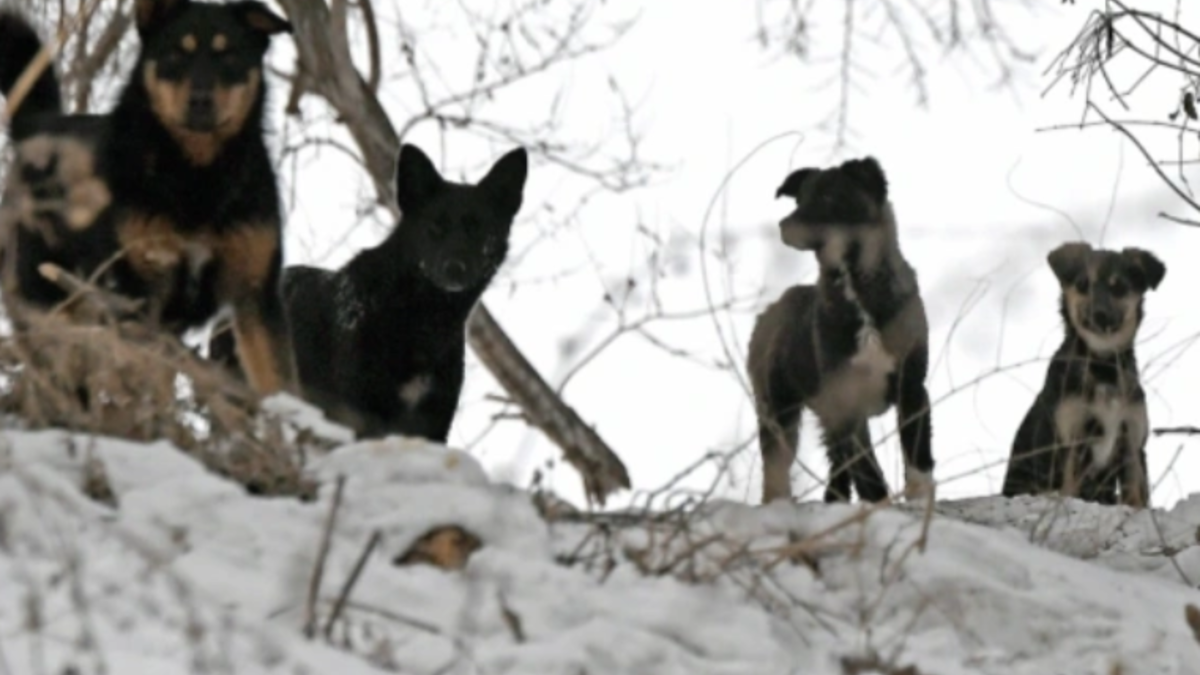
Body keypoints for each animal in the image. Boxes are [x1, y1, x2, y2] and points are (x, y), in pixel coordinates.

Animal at [0, 0, 297, 393]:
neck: (198, 176)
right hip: (50, 304)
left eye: (229, 55)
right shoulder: (141, 293)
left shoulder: (256, 295)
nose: (200, 101)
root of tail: (38, 130)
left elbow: (278, 385)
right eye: (175, 54)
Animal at [212, 142, 530, 441]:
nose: (455, 268)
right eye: (434, 228)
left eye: (479, 231)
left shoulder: (432, 424)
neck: (419, 318)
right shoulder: (361, 412)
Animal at [748, 157, 936, 502]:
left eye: (828, 196)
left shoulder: (912, 386)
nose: (784, 226)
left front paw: (919, 498)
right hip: (777, 408)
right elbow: (867, 467)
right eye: (799, 199)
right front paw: (878, 504)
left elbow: (917, 451)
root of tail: (768, 312)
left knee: (836, 460)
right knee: (777, 464)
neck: (855, 284)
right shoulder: (847, 399)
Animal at [998, 241, 1166, 504]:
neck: (1102, 366)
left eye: (1119, 288)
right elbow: (1072, 492)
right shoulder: (1071, 444)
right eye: (1082, 285)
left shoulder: (1133, 445)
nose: (1099, 314)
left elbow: (1137, 501)